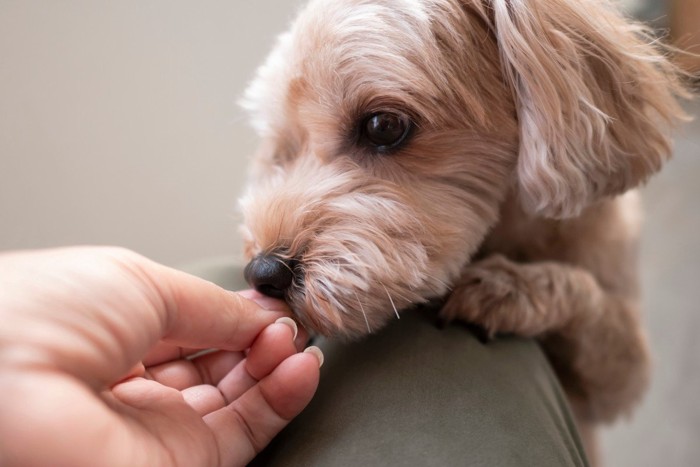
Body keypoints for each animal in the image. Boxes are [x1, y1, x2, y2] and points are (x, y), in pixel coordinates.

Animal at [238, 0, 688, 460]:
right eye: (285, 150)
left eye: (384, 126)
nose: (264, 273)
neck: (509, 231)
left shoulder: (620, 380)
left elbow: (586, 295)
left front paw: (508, 288)